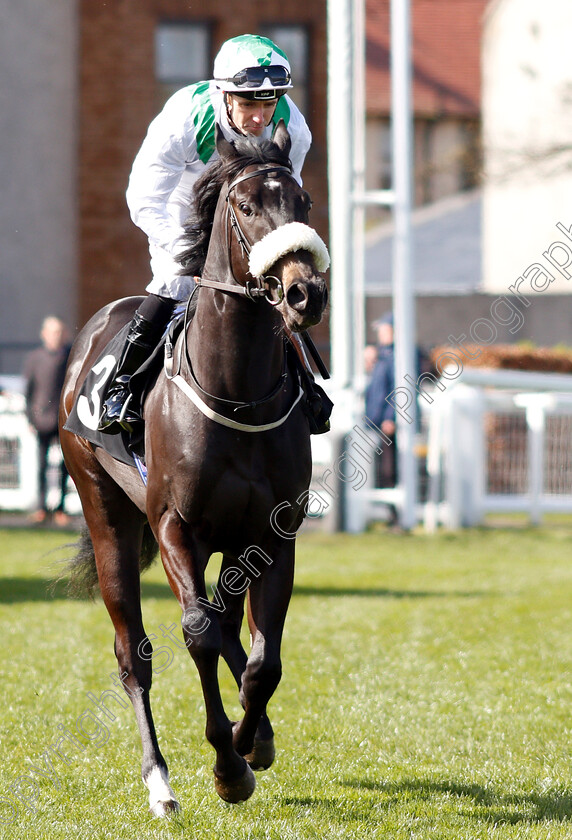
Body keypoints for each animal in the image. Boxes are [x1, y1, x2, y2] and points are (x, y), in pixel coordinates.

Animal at [59, 121, 328, 816]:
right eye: (246, 206)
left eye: (304, 202)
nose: (304, 293)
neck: (235, 392)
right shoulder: (175, 526)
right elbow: (199, 633)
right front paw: (227, 766)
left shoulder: (272, 535)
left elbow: (263, 659)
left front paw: (249, 740)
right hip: (108, 518)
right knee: (136, 652)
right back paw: (160, 781)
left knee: (232, 630)